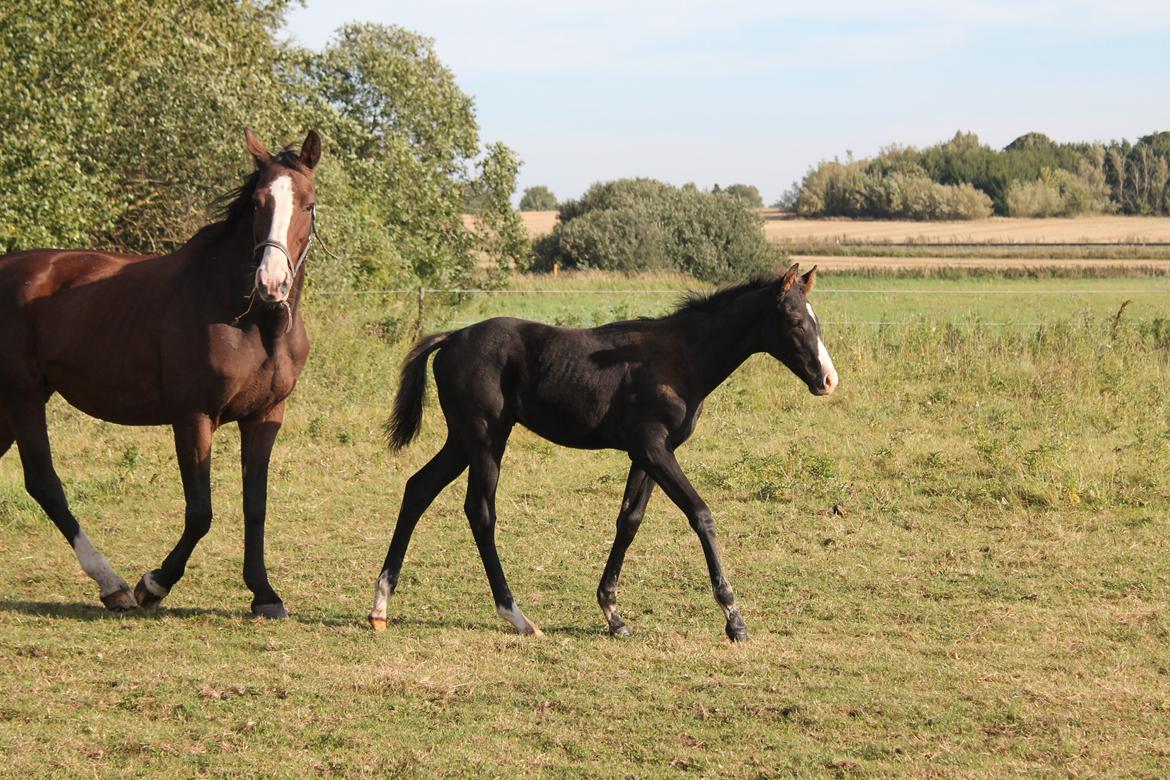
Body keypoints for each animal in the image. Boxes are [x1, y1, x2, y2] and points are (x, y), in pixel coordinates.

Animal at [0, 126, 320, 617]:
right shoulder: (193, 417)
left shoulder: (264, 416)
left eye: (307, 203)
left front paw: (264, 594)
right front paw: (155, 584)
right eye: (257, 202)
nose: (271, 283)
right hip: (22, 395)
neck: (251, 321)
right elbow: (200, 512)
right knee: (44, 483)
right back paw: (113, 585)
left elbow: (256, 505)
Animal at [369, 261, 837, 640]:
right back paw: (517, 616)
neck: (681, 358)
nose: (828, 380)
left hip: (462, 440)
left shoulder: (645, 454)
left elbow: (629, 521)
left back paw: (380, 607)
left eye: (817, 319)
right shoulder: (654, 448)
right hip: (486, 438)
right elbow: (701, 514)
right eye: (795, 319)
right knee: (480, 512)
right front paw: (734, 618)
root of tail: (452, 338)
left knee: (418, 488)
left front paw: (613, 614)